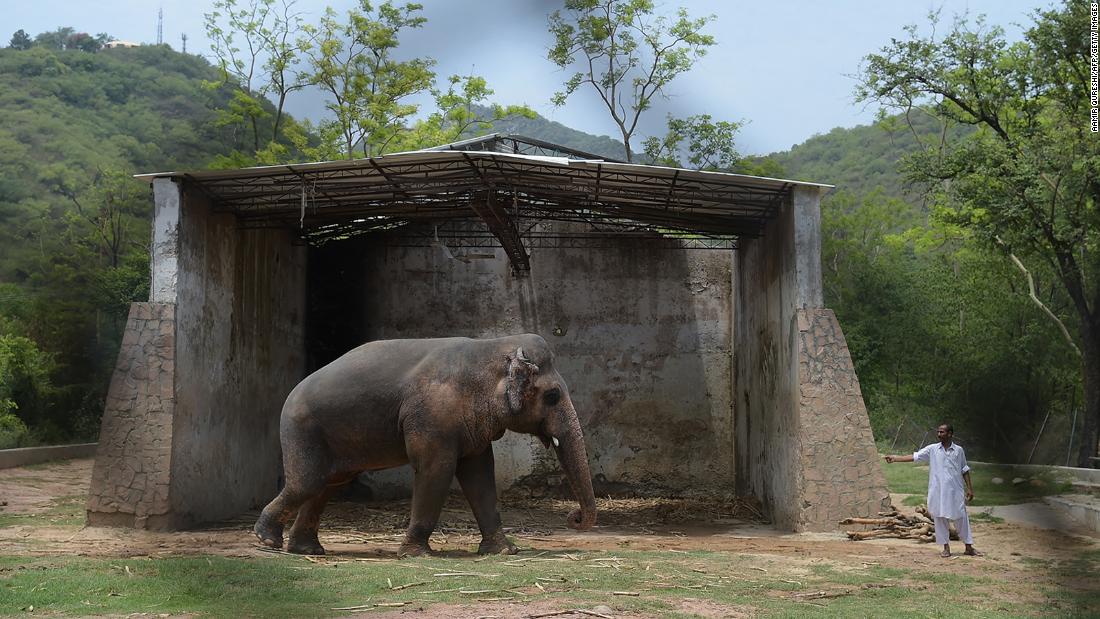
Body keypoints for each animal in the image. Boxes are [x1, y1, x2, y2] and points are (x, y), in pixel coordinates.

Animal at [253, 333, 597, 556]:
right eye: (552, 395)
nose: (574, 518)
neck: (491, 347)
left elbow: (480, 474)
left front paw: (503, 551)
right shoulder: (432, 417)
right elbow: (436, 470)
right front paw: (416, 554)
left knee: (328, 484)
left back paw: (306, 550)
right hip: (303, 429)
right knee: (308, 482)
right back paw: (267, 541)